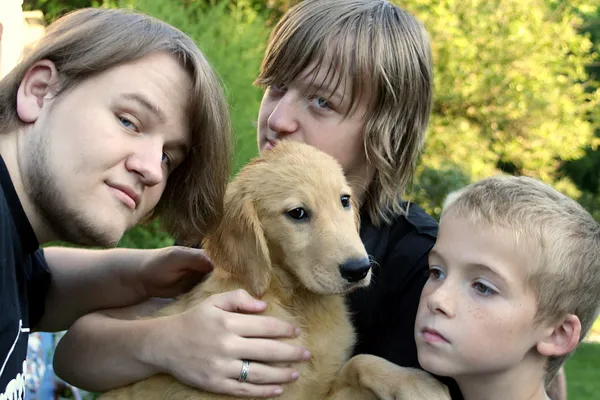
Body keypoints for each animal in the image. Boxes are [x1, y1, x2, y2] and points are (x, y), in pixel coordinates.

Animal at [98, 141, 448, 400]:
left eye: (345, 200)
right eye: (297, 213)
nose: (359, 269)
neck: (297, 304)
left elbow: (359, 362)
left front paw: (416, 384)